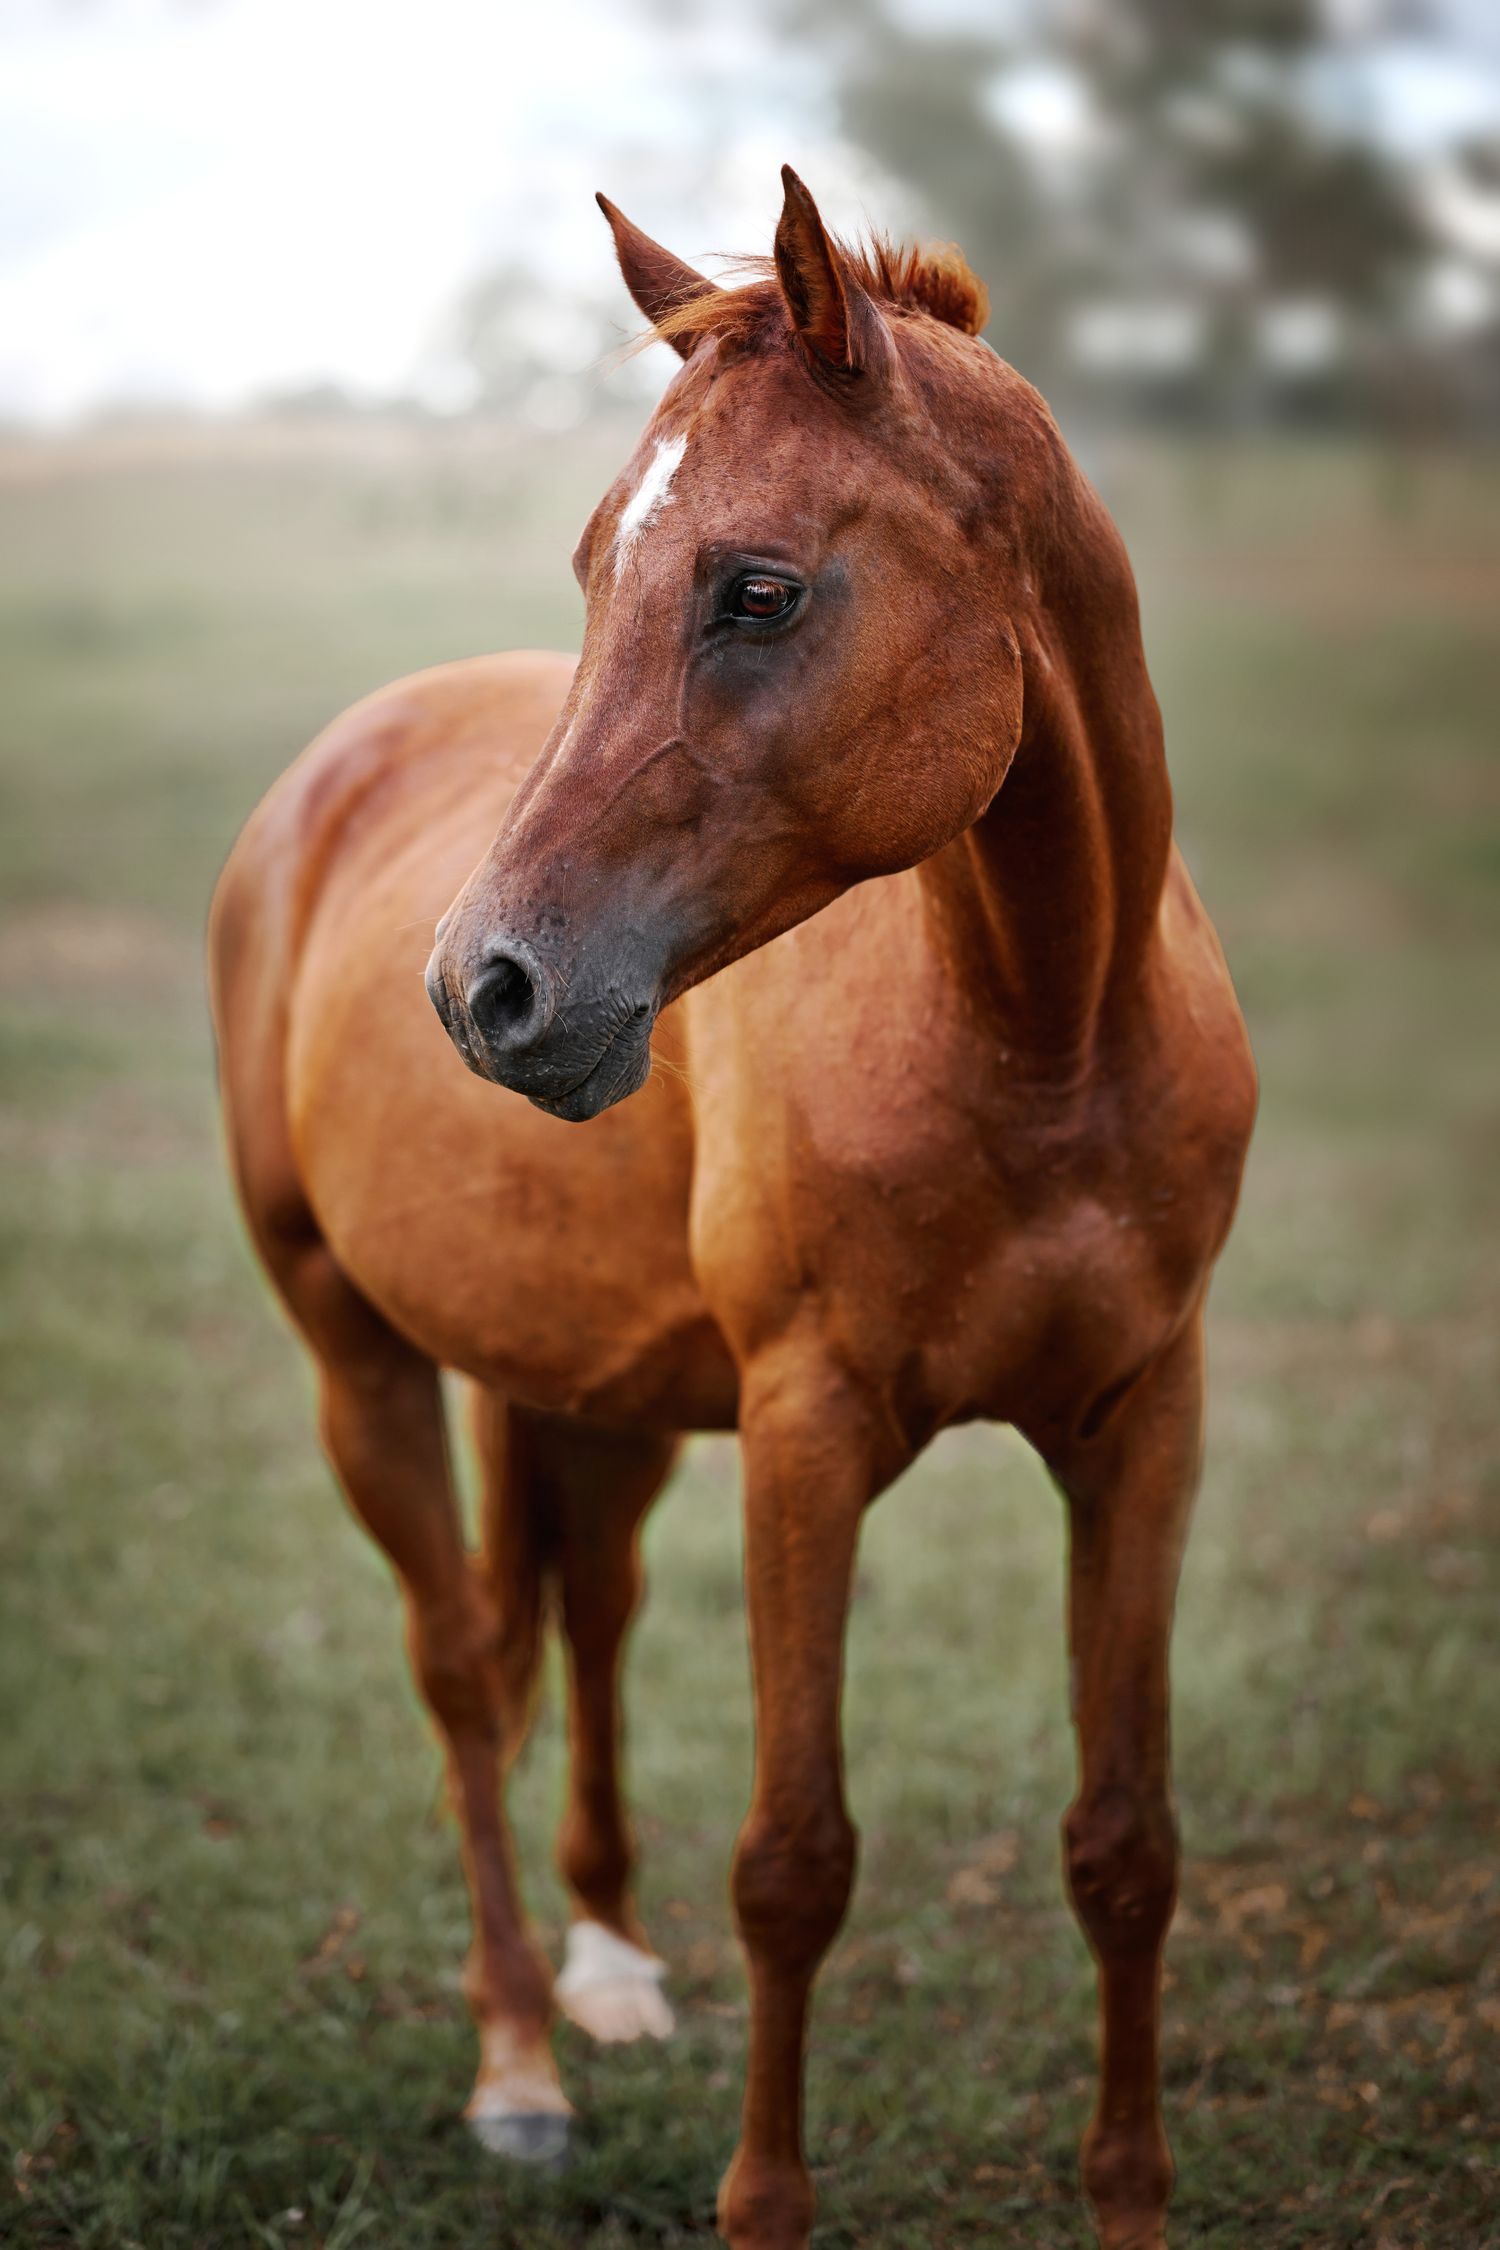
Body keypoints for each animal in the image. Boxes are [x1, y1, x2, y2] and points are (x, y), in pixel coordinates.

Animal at [209, 166, 1256, 2250]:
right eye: (596, 562)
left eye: (756, 588)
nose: (485, 989)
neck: (1039, 1033)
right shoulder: (808, 1431)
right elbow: (794, 1859)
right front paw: (762, 2198)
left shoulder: (1145, 1423)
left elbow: (1125, 1844)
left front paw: (1129, 2200)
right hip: (354, 1353)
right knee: (464, 1672)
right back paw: (520, 2063)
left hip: (594, 1396)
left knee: (589, 1614)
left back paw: (611, 1968)